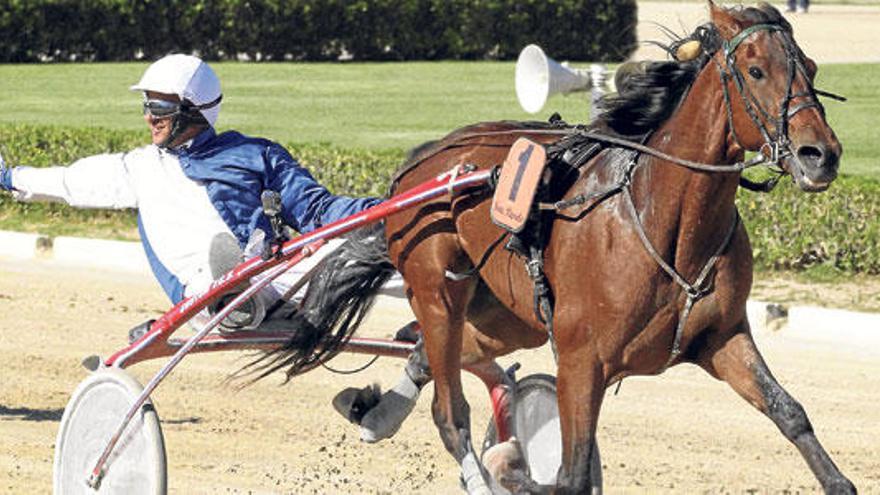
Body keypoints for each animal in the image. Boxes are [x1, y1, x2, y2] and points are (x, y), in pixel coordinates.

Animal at [258, 1, 856, 494]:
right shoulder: (580, 359)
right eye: (756, 71)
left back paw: (375, 414)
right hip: (437, 291)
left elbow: (790, 412)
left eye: (811, 68)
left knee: (433, 350)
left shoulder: (722, 336)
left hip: (507, 313)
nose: (820, 154)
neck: (663, 221)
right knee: (450, 413)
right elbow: (570, 474)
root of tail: (421, 163)